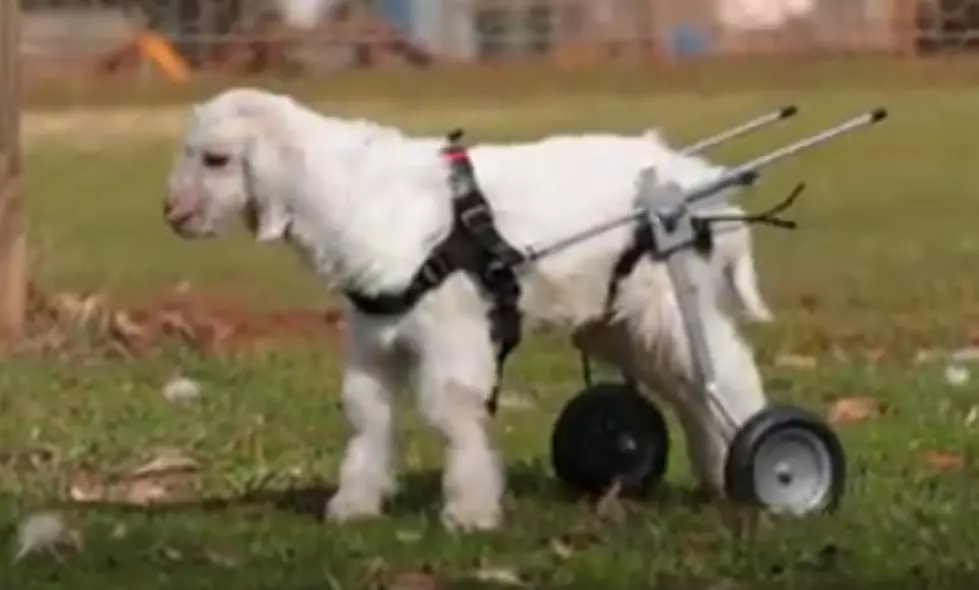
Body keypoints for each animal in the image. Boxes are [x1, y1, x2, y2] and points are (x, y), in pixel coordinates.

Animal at [161, 86, 772, 532]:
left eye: (216, 159)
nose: (173, 214)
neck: (359, 196)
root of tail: (701, 181)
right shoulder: (373, 337)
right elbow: (366, 414)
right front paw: (354, 505)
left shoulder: (452, 332)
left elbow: (451, 412)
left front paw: (470, 512)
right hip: (617, 318)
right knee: (691, 391)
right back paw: (714, 475)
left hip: (671, 299)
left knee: (728, 376)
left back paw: (758, 472)